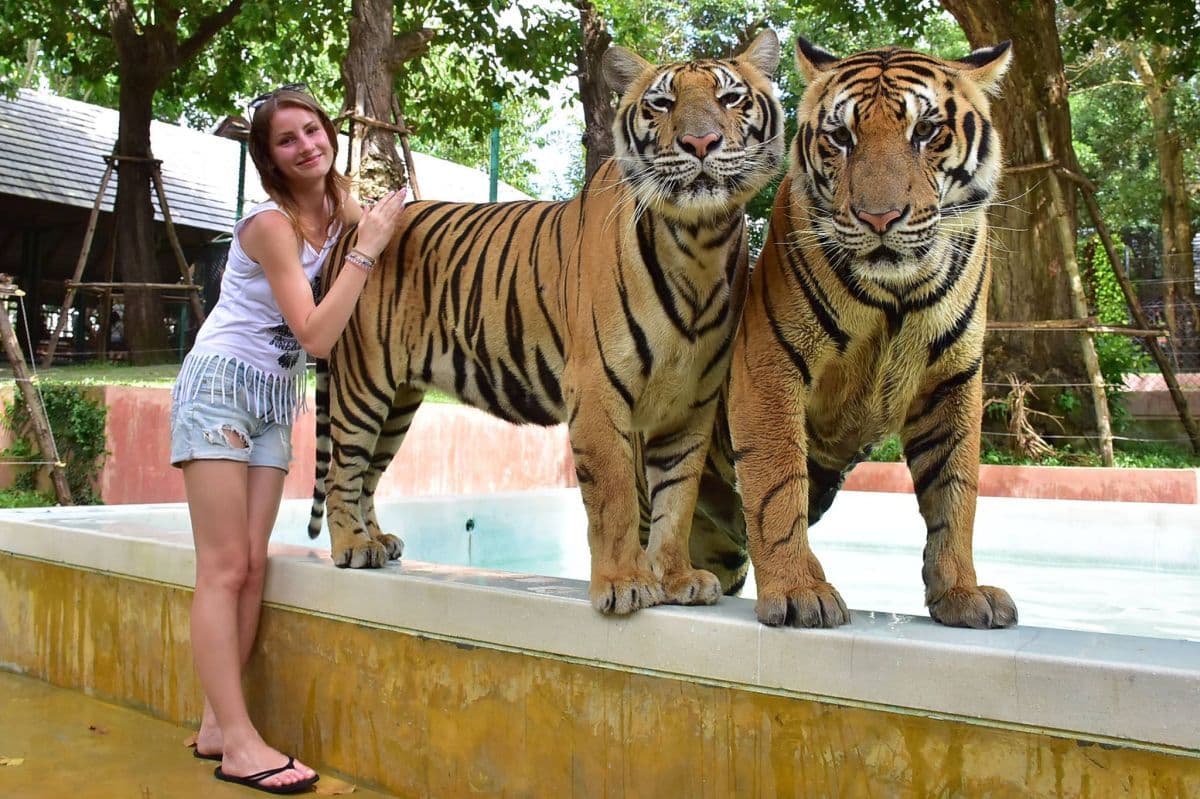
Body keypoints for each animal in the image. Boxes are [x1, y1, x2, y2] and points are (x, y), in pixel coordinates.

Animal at [308, 30, 785, 616]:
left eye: (731, 98)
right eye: (661, 103)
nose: (701, 142)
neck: (699, 244)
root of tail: (347, 233)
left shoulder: (691, 404)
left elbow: (676, 498)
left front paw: (677, 579)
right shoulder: (599, 390)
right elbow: (617, 496)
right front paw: (624, 583)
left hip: (399, 399)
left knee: (370, 473)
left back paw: (378, 539)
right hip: (363, 381)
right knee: (342, 470)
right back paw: (352, 547)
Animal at [682, 36, 1019, 629]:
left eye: (926, 131)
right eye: (841, 138)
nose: (879, 218)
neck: (898, 293)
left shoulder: (953, 379)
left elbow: (956, 493)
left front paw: (961, 592)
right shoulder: (769, 362)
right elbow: (777, 485)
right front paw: (799, 591)